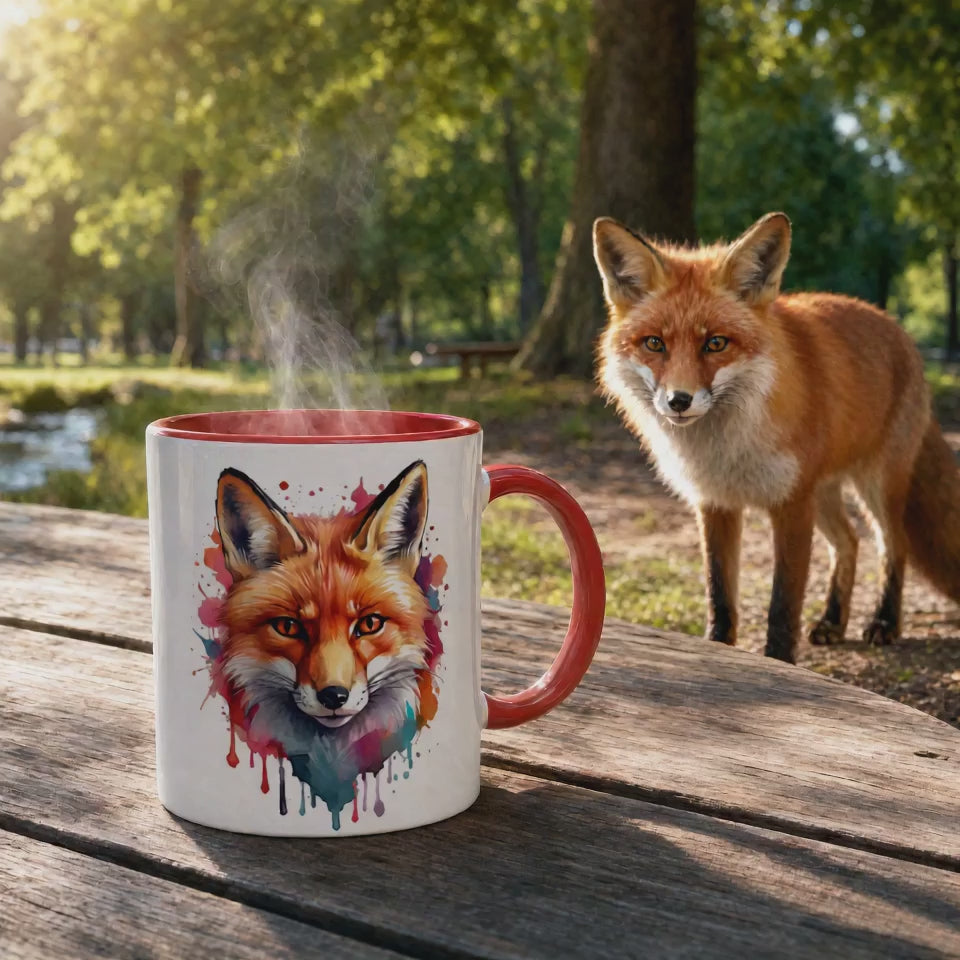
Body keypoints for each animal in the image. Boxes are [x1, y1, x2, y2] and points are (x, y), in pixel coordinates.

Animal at [593, 211, 960, 663]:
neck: (727, 450)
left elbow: (783, 604)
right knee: (849, 541)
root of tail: (897, 328)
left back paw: (884, 622)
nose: (679, 401)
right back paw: (833, 622)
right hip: (824, 492)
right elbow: (720, 594)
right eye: (654, 343)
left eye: (716, 343)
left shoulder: (790, 504)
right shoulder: (716, 502)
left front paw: (780, 661)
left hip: (876, 485)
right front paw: (719, 649)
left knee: (893, 545)